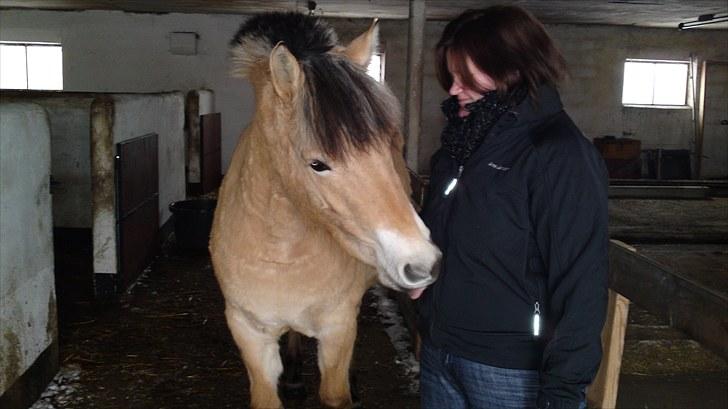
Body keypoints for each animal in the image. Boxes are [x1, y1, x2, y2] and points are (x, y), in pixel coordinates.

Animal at [208, 12, 440, 408]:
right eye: (317, 164)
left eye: (390, 144)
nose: (422, 263)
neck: (281, 253)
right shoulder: (248, 331)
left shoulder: (338, 326)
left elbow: (335, 392)